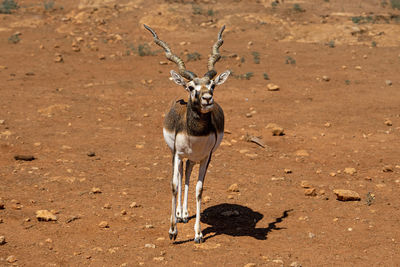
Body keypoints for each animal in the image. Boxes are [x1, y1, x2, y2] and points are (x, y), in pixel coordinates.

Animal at [145, 24, 231, 244]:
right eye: (191, 87)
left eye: (212, 85)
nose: (207, 98)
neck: (196, 135)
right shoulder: (177, 153)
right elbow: (174, 185)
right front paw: (172, 231)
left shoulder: (206, 157)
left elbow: (199, 190)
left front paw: (198, 233)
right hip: (178, 155)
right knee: (181, 174)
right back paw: (178, 215)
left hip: (193, 158)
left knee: (187, 175)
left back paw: (183, 214)